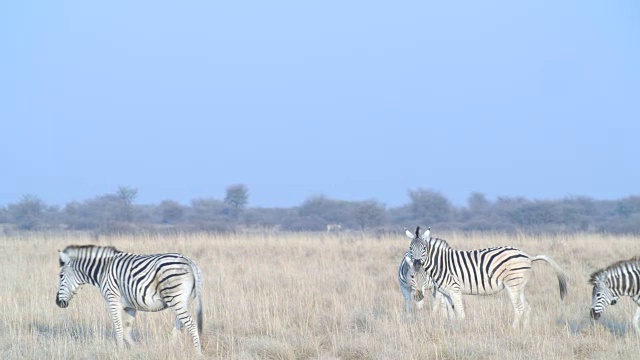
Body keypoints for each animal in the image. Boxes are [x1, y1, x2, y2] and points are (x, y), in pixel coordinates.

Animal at [57, 245, 204, 352]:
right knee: (180, 324)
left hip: (174, 298)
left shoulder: (112, 299)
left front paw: (120, 351)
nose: (58, 303)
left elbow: (118, 327)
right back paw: (170, 347)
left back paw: (198, 353)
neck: (103, 270)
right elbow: (127, 331)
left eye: (61, 276)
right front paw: (136, 350)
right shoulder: (130, 306)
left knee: (191, 324)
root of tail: (188, 261)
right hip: (182, 300)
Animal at [408, 226, 568, 328]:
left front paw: (462, 329)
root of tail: (528, 256)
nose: (416, 263)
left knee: (519, 307)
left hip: (512, 285)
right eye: (411, 248)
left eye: (424, 248)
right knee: (527, 307)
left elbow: (460, 312)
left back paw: (513, 329)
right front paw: (452, 328)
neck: (441, 264)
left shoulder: (455, 289)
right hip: (520, 286)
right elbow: (450, 313)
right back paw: (526, 330)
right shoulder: (446, 293)